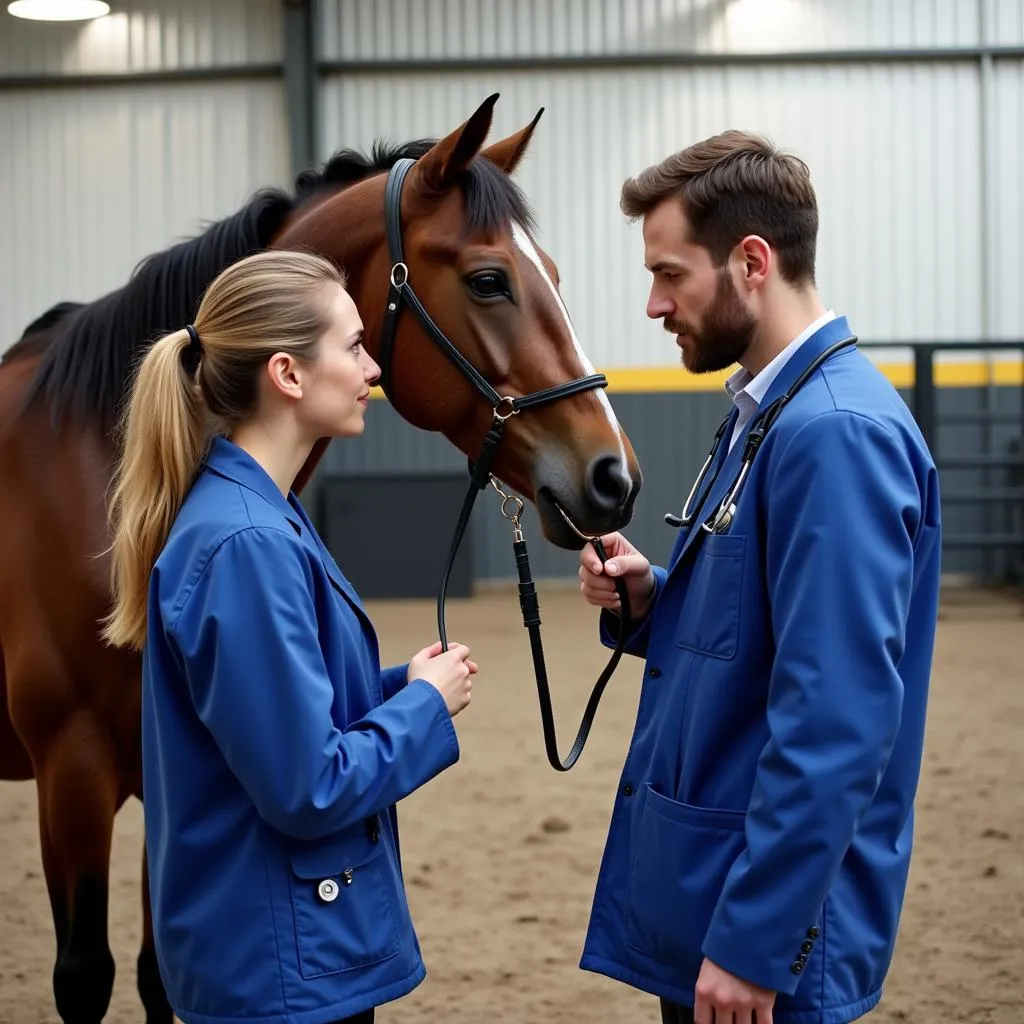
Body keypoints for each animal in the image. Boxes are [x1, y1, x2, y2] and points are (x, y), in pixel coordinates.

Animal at [0, 92, 638, 1019]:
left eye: (551, 272)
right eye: (489, 279)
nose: (614, 478)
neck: (100, 470)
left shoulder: (170, 775)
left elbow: (166, 976)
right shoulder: (72, 771)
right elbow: (87, 975)